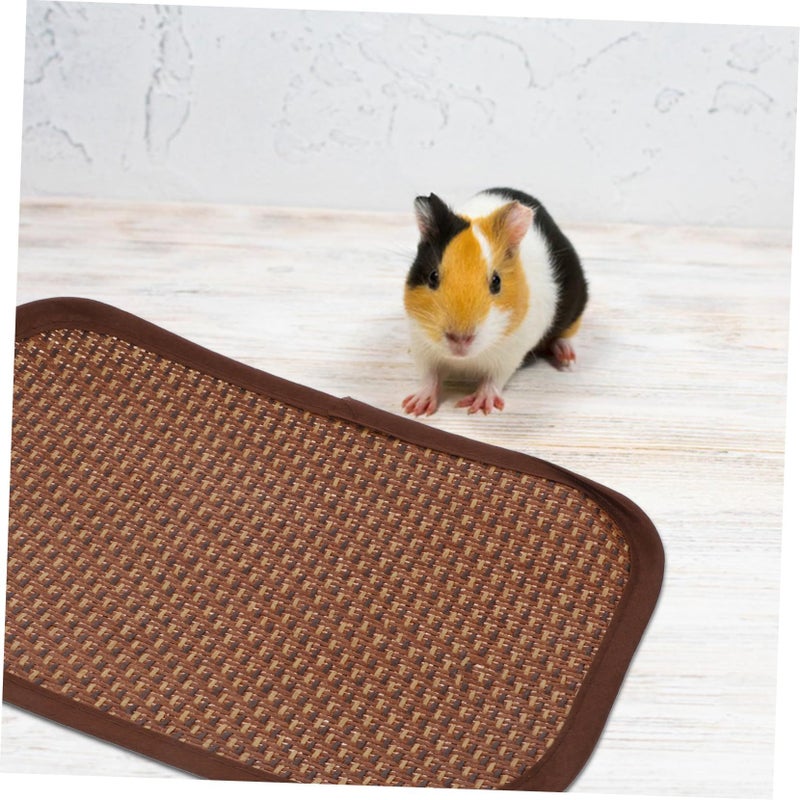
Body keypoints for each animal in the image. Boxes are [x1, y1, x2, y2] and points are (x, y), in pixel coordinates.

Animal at [402, 187, 588, 416]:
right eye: (432, 276)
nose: (460, 339)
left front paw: (478, 406)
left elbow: (493, 379)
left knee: (567, 335)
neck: (464, 359)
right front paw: (414, 407)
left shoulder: (509, 354)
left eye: (496, 282)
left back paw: (567, 359)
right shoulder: (422, 345)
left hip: (577, 304)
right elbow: (430, 377)